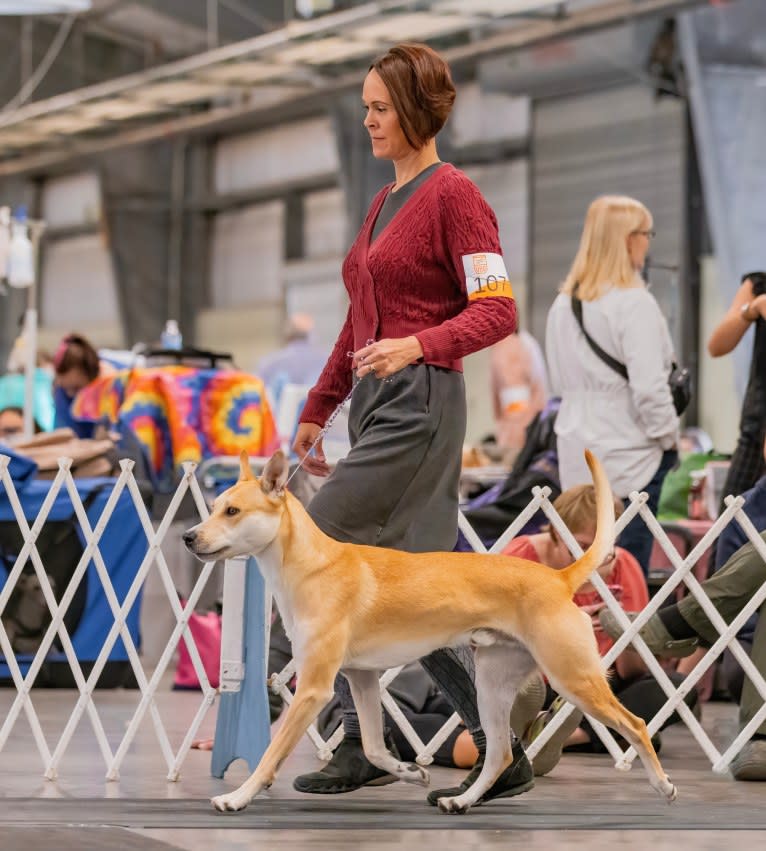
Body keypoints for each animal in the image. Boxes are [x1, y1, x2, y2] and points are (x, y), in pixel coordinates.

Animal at [186, 450, 680, 816]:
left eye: (232, 511)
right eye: (213, 508)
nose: (190, 537)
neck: (311, 566)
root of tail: (559, 578)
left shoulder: (312, 688)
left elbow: (270, 755)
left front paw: (236, 797)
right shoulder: (360, 678)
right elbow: (372, 745)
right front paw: (410, 772)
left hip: (574, 677)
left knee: (636, 724)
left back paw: (663, 786)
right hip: (492, 684)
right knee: (499, 754)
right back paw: (460, 800)